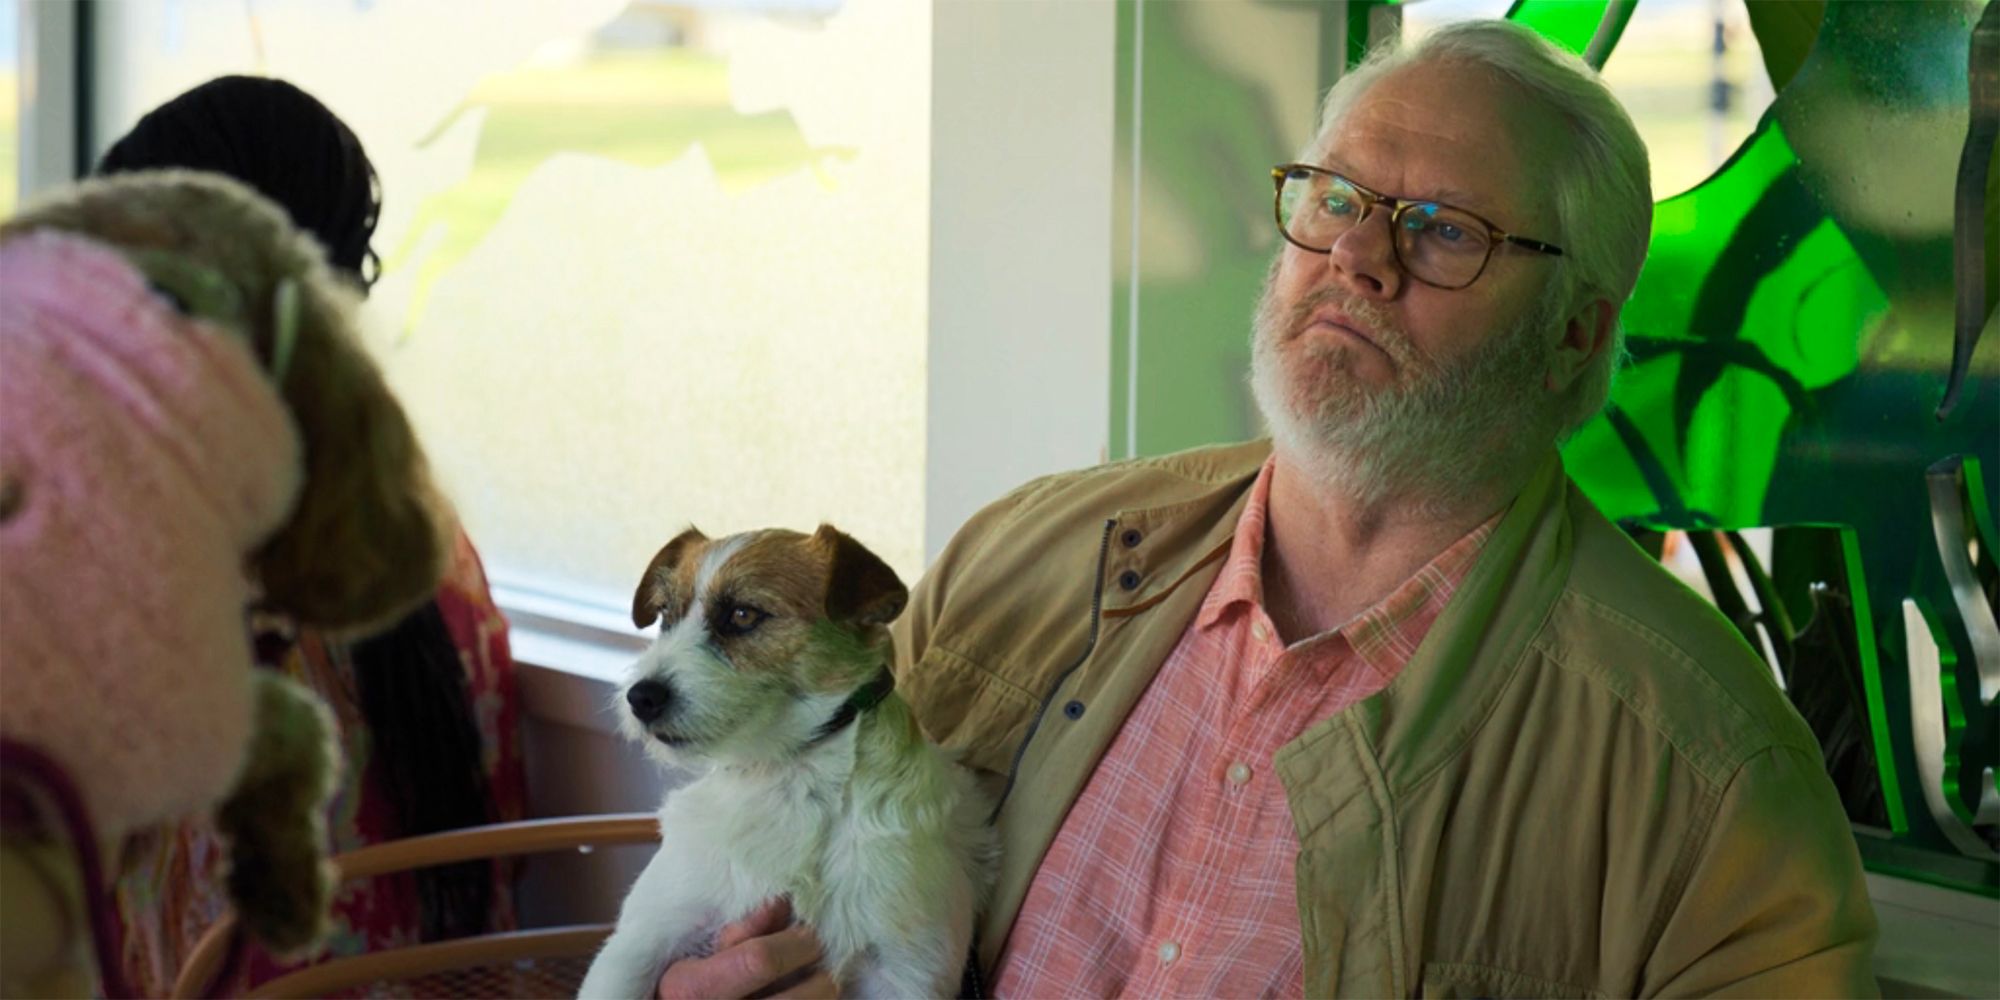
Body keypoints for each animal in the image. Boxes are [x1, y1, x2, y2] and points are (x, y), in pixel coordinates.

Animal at [576, 524, 996, 1000]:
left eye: (743, 615)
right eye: (666, 617)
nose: (640, 698)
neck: (788, 777)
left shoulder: (906, 972)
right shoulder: (642, 940)